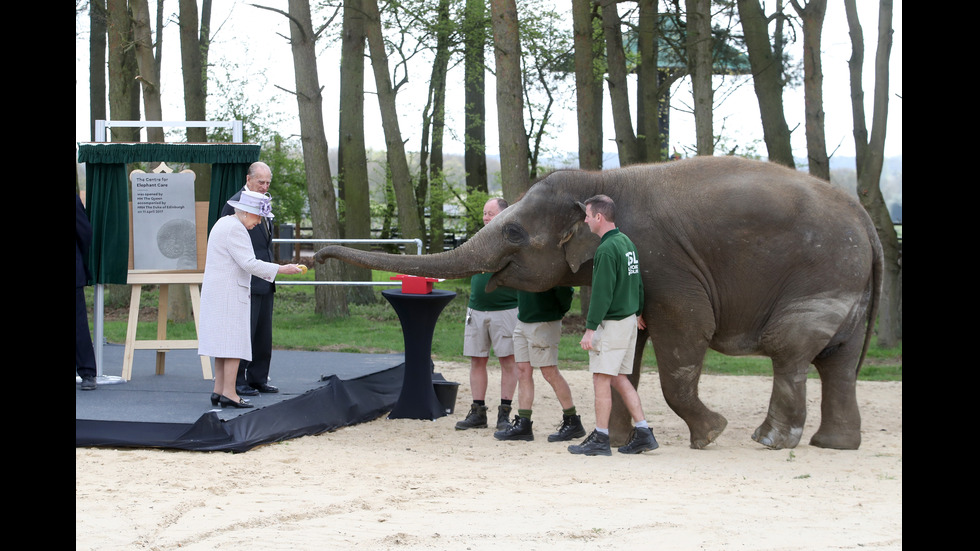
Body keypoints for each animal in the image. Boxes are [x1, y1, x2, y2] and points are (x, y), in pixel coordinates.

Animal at [316, 157, 880, 450]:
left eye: (514, 232)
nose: (316, 253)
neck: (602, 176)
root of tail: (867, 219)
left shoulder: (664, 261)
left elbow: (685, 335)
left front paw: (708, 434)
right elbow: (628, 351)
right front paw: (618, 438)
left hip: (822, 275)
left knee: (791, 349)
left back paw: (770, 440)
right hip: (848, 285)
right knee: (839, 361)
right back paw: (832, 445)